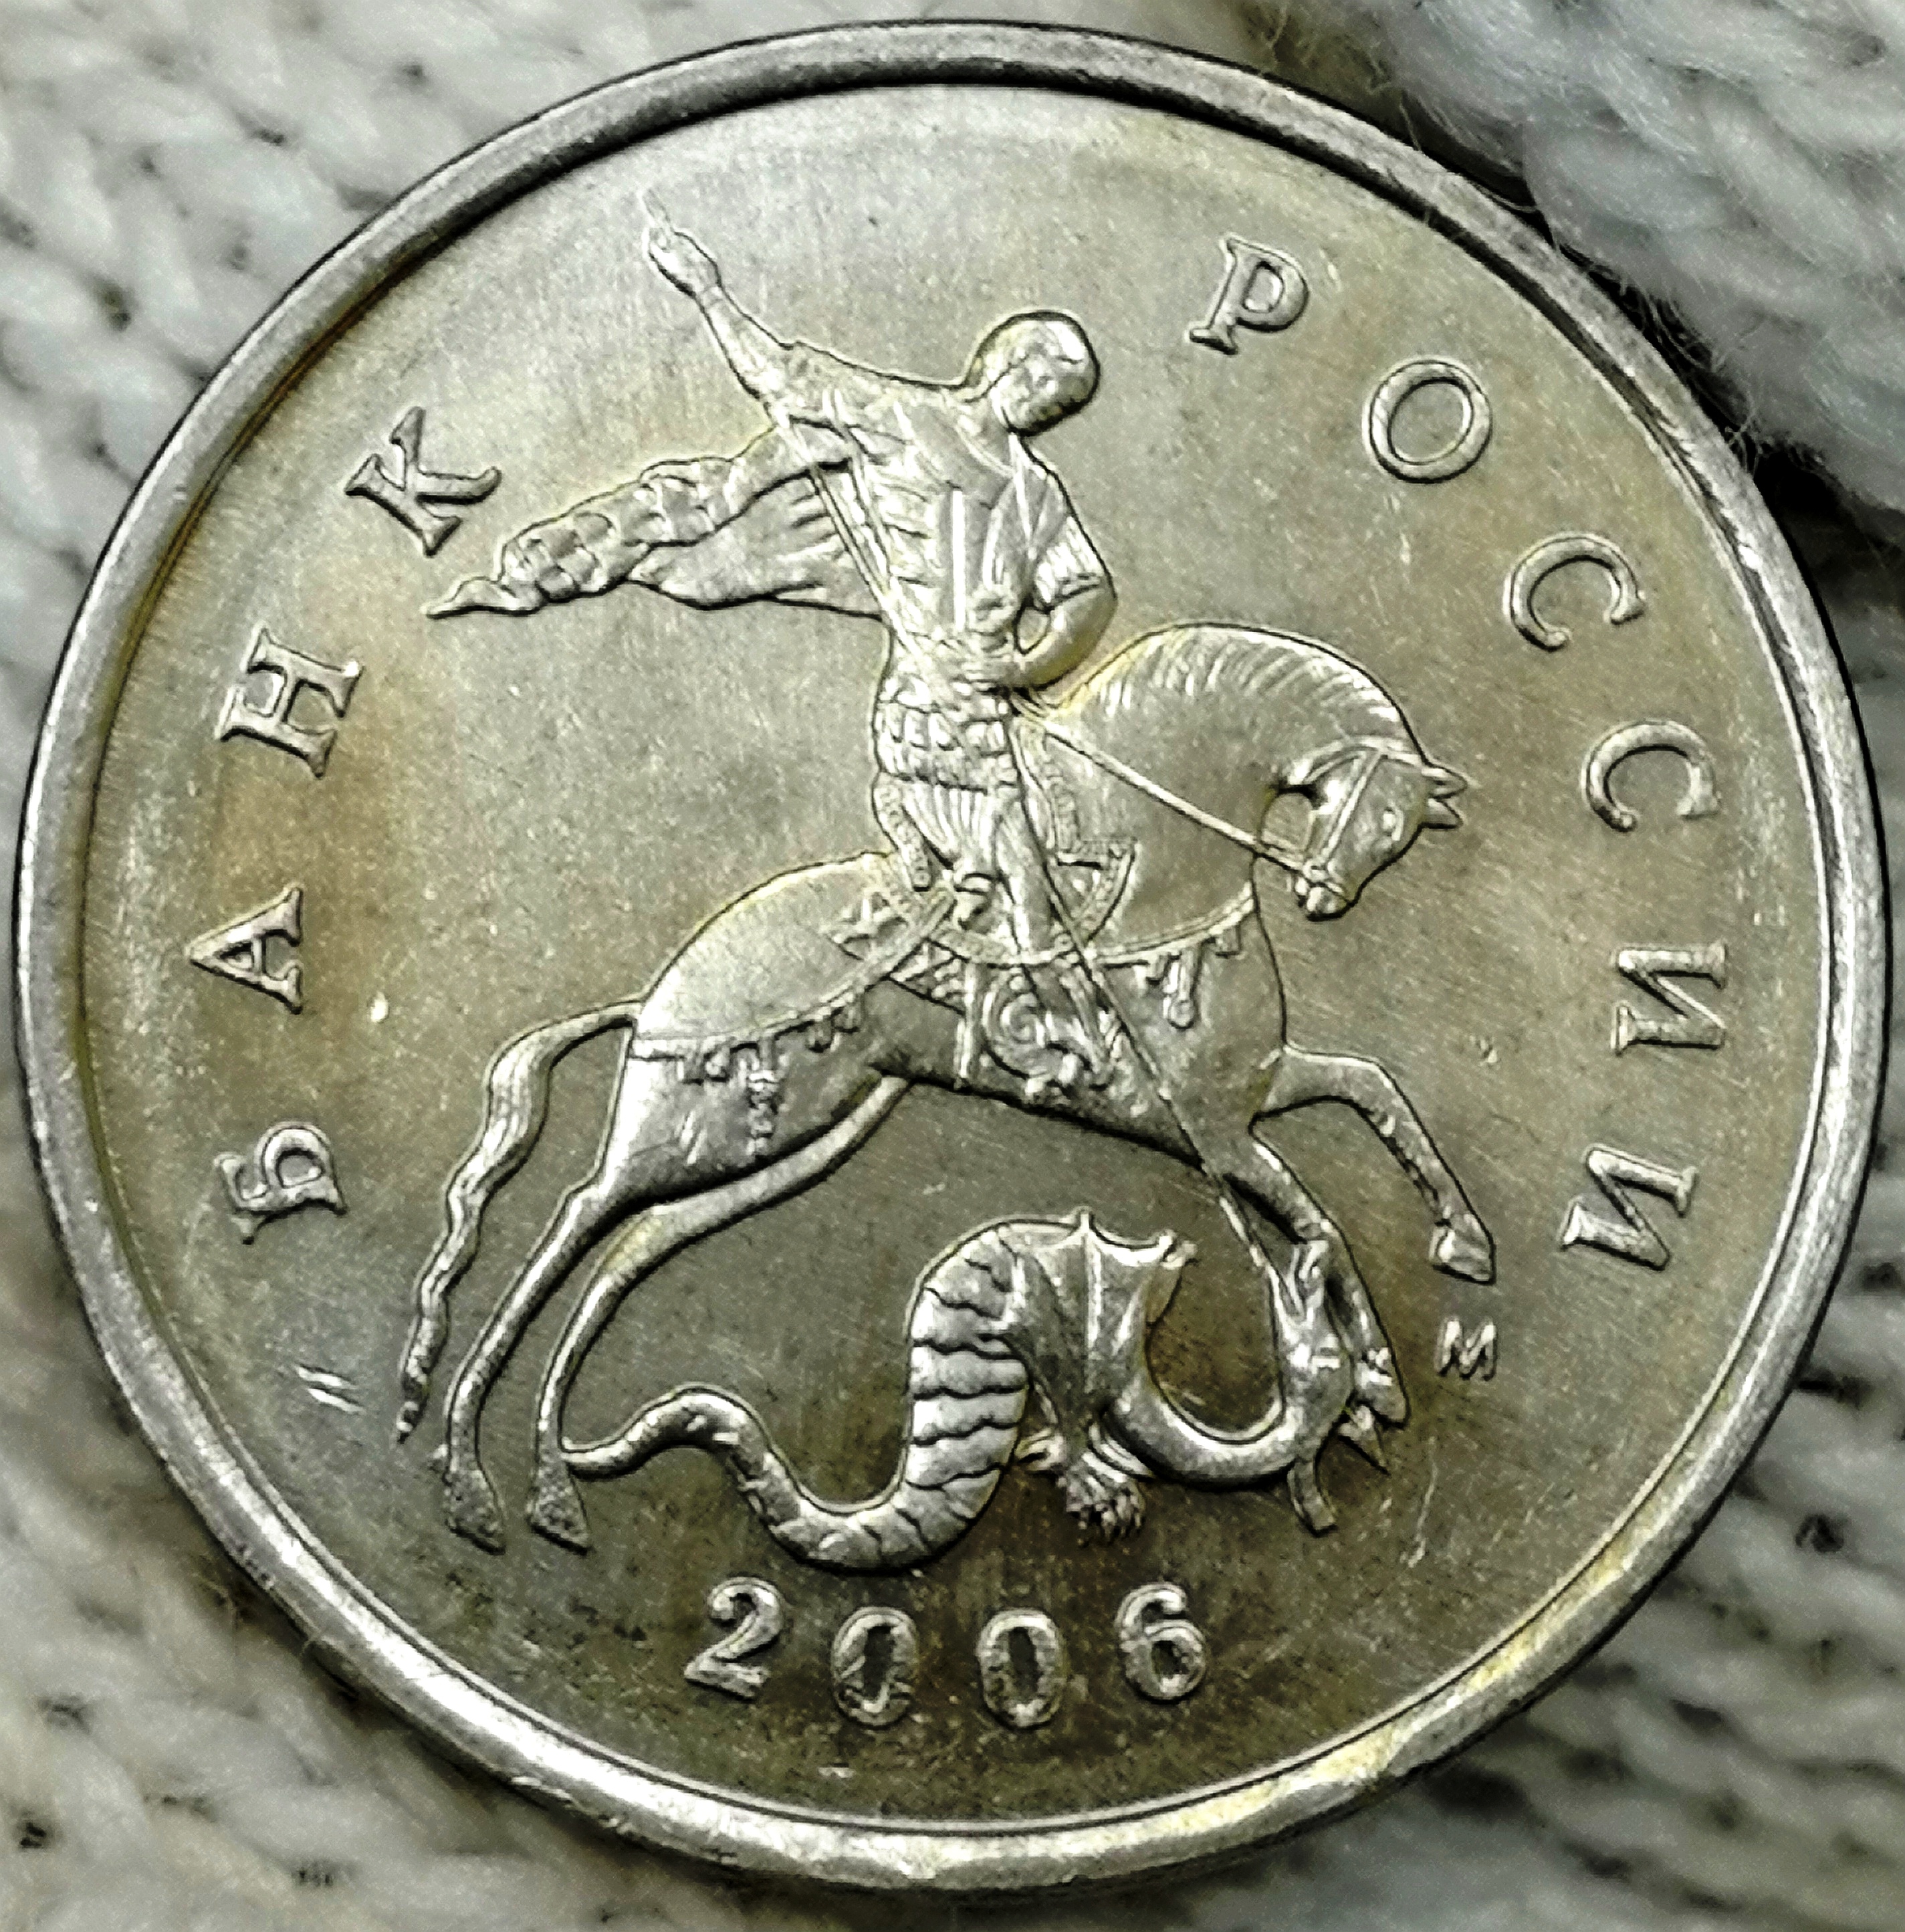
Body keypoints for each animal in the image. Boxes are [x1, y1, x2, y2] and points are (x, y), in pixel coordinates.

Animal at [395, 623, 1492, 1553]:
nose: (1325, 897)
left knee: (626, 1253)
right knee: (573, 1221)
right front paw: (1380, 1376)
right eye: (1382, 812)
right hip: (689, 1128)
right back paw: (468, 1473)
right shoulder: (1212, 1132)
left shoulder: (1245, 1097)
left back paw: (547, 1486)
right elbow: (1322, 1221)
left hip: (788, 1141)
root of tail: (662, 989)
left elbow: (1374, 1094)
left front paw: (1456, 1253)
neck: (1158, 875)